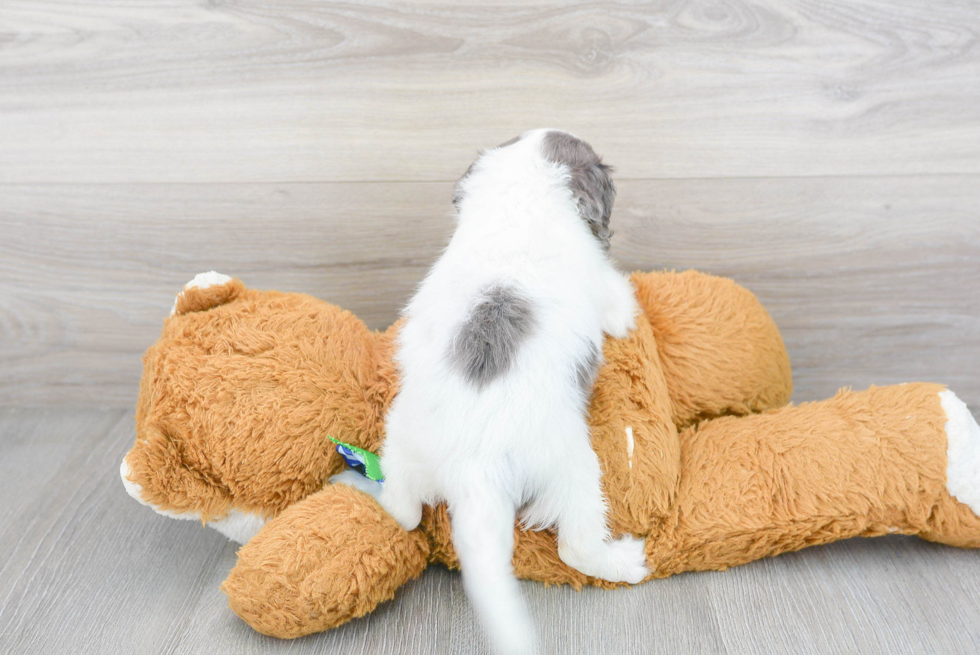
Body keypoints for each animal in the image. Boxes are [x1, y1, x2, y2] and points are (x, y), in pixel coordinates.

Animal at [378, 129, 648, 655]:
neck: (520, 199)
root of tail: (472, 467)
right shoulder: (606, 293)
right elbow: (622, 305)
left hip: (400, 440)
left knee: (403, 511)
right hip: (574, 466)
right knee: (577, 546)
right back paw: (624, 563)